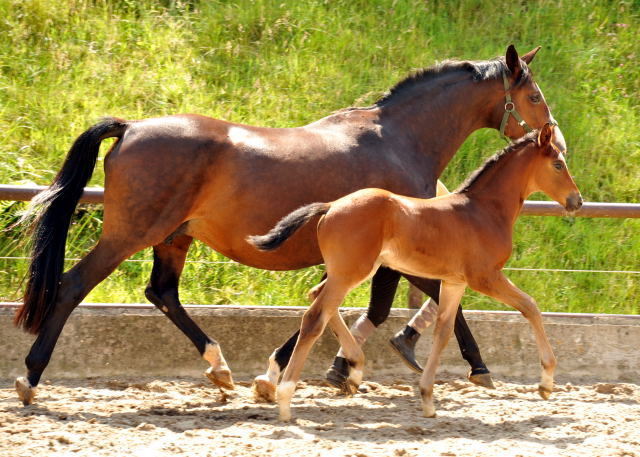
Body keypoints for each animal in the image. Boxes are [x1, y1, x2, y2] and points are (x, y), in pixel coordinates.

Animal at [250, 124, 580, 420]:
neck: (484, 211)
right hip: (351, 272)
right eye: (558, 164)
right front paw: (546, 383)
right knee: (314, 317)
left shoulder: (454, 282)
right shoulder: (485, 277)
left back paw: (354, 370)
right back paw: (285, 398)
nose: (577, 201)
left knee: (318, 297)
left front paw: (428, 399)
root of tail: (331, 206)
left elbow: (443, 332)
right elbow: (530, 306)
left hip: (350, 271)